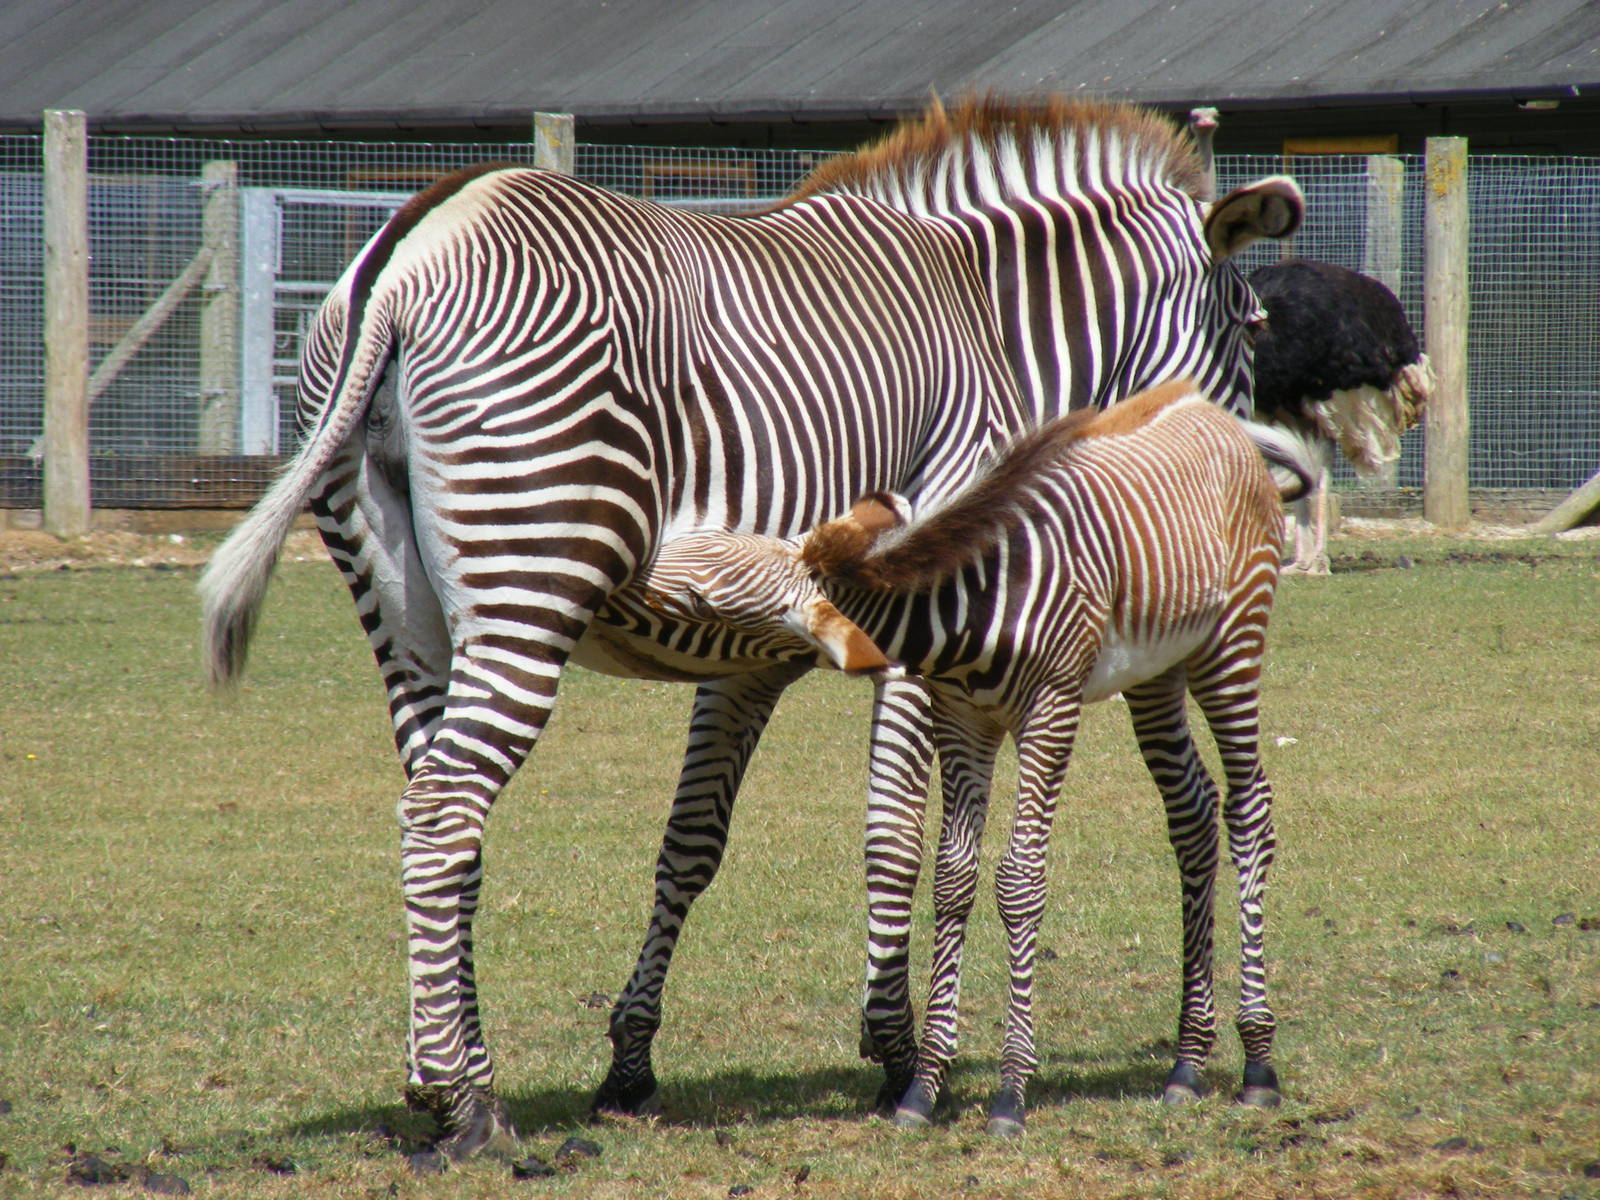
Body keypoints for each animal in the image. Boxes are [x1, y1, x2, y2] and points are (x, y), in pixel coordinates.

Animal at [615, 378, 1318, 1136]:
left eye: (697, 598)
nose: (614, 580)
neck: (970, 612)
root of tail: (1215, 413)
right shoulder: (960, 720)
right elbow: (952, 878)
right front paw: (924, 1087)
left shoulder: (1049, 710)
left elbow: (1020, 881)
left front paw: (1011, 1090)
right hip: (1157, 670)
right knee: (1192, 813)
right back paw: (1187, 1061)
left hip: (1231, 643)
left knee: (1249, 811)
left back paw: (1257, 1061)